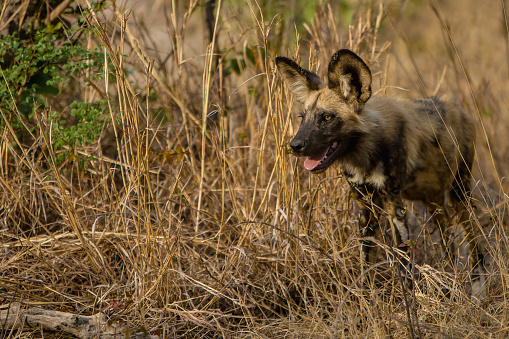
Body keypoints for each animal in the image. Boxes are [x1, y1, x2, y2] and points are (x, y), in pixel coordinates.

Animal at [274, 48, 484, 294]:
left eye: (326, 117)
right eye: (302, 118)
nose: (295, 145)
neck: (365, 153)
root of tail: (457, 106)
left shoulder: (394, 205)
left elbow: (404, 260)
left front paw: (408, 299)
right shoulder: (367, 206)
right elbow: (366, 259)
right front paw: (365, 294)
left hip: (460, 193)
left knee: (471, 233)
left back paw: (477, 283)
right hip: (433, 200)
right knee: (447, 234)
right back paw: (448, 279)